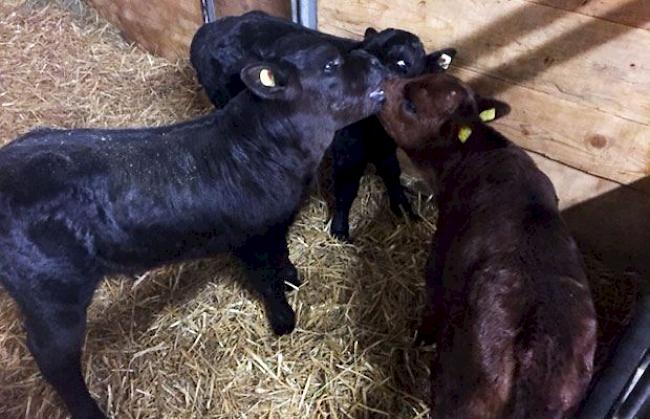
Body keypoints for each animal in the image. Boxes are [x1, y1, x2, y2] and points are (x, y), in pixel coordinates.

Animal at [378, 74, 596, 418]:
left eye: (412, 104)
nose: (380, 80)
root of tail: (535, 347)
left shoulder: (439, 257)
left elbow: (431, 305)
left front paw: (419, 336)